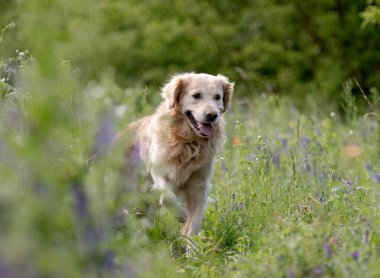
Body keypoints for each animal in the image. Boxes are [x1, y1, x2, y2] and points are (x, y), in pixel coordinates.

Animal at [129, 73, 233, 238]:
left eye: (217, 97)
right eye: (196, 95)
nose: (212, 115)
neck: (188, 143)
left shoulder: (199, 185)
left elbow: (194, 224)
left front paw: (192, 244)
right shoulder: (158, 171)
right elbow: (166, 195)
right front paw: (181, 214)